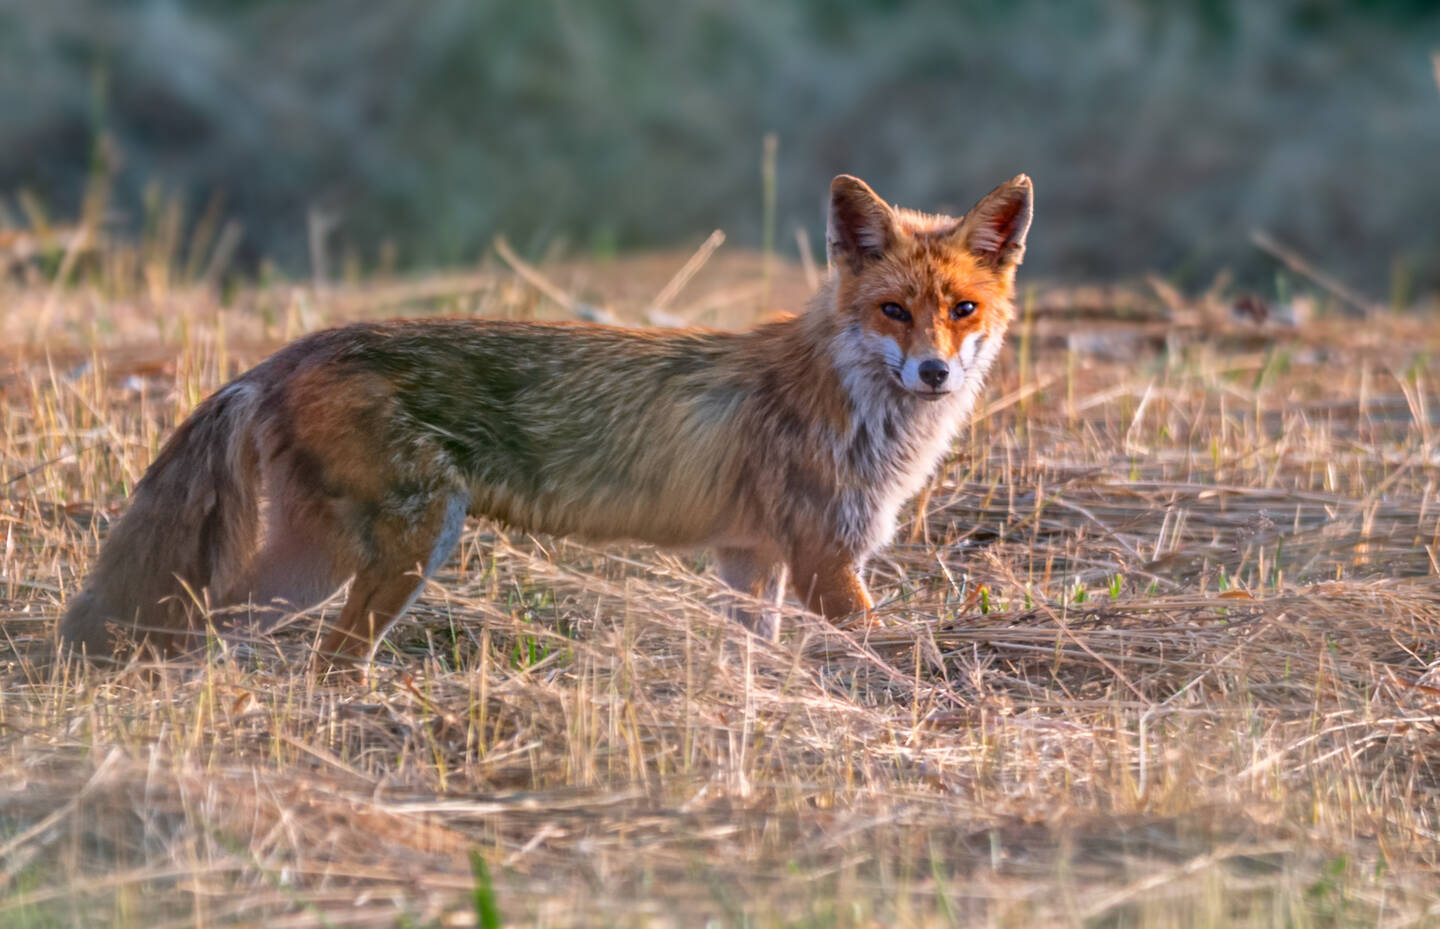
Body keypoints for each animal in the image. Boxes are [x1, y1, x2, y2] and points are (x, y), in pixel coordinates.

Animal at [57, 172, 1033, 674]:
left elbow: (753, 648)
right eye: (894, 311)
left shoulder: (751, 559)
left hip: (320, 559)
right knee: (314, 647)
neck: (853, 403)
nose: (936, 372)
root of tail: (284, 354)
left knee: (210, 618)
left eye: (964, 310)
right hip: (406, 545)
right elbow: (881, 652)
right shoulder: (828, 562)